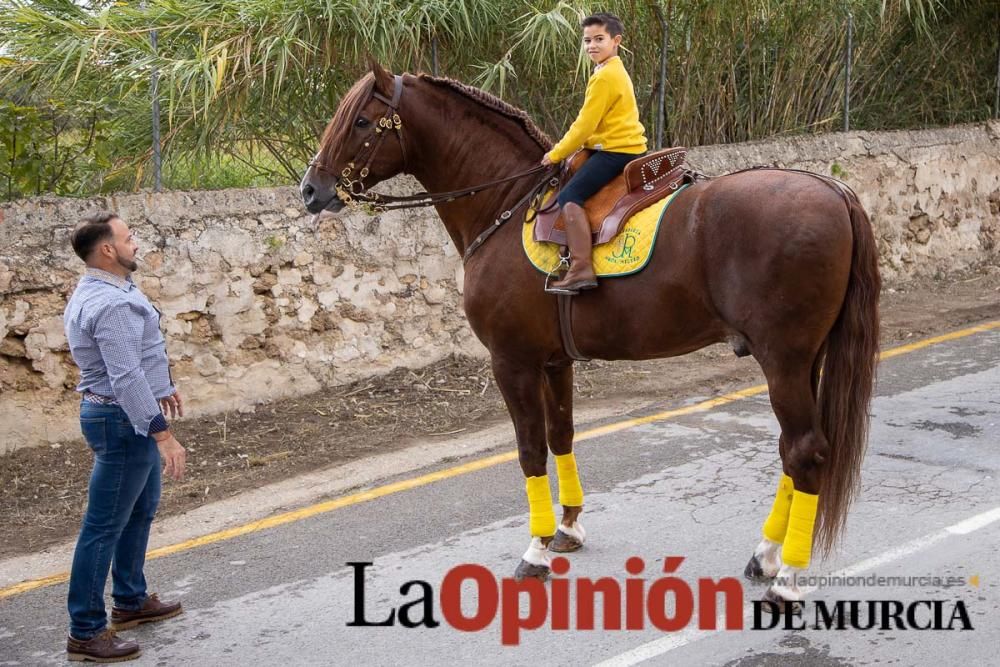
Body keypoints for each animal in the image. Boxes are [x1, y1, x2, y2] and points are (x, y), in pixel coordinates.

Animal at [300, 64, 880, 604]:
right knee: (791, 448)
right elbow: (562, 436)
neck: (508, 203)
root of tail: (833, 188)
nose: (311, 189)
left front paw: (534, 550)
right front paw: (568, 528)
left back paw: (787, 578)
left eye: (361, 121)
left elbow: (530, 450)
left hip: (783, 359)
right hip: (803, 359)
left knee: (804, 450)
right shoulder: (555, 361)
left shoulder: (512, 361)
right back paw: (765, 555)